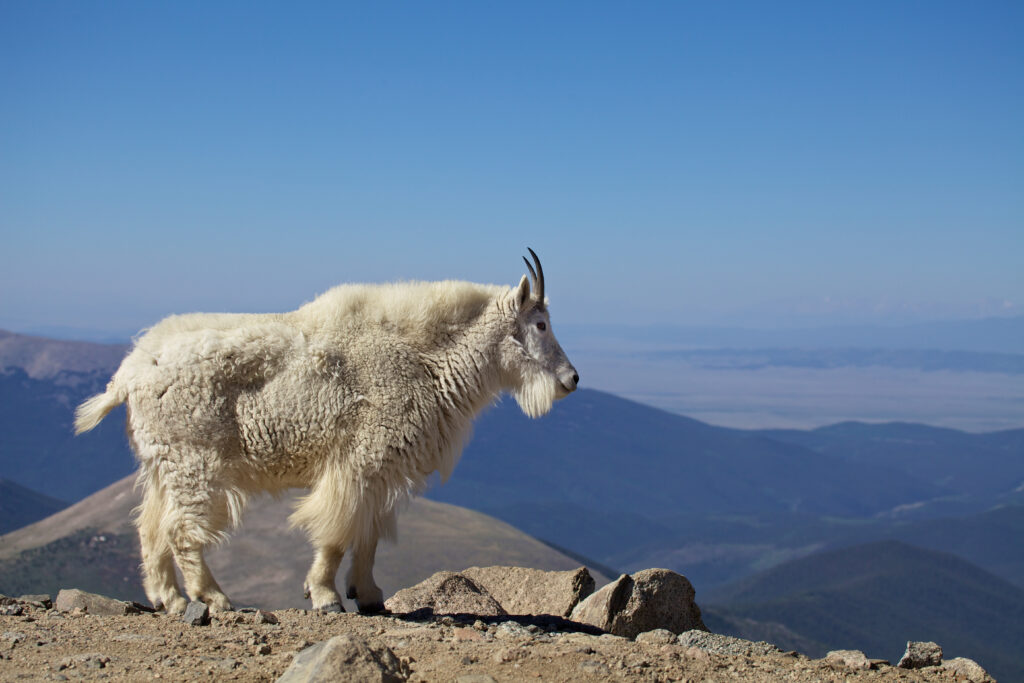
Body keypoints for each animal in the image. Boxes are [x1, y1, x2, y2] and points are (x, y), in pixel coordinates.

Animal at [75, 249, 581, 614]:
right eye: (539, 324)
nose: (571, 380)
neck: (425, 358)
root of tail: (127, 375)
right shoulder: (358, 461)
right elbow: (337, 532)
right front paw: (325, 596)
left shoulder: (382, 471)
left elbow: (368, 536)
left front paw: (369, 594)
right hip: (195, 464)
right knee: (182, 531)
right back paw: (213, 599)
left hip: (163, 465)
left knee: (150, 527)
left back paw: (170, 599)